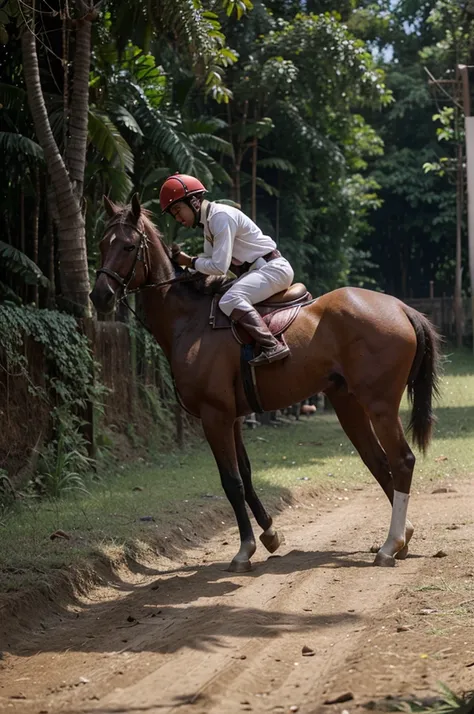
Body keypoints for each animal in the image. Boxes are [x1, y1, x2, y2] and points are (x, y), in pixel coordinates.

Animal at [90, 196, 440, 572]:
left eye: (128, 246)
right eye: (102, 244)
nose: (99, 296)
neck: (190, 320)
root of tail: (402, 307)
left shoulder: (215, 415)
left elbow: (231, 482)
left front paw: (245, 549)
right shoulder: (234, 417)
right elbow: (245, 474)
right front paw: (270, 533)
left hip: (379, 405)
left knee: (401, 460)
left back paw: (391, 545)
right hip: (348, 404)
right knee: (377, 460)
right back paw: (403, 537)